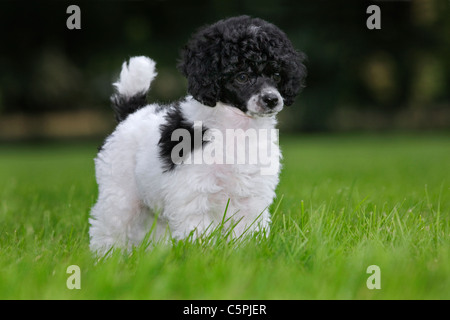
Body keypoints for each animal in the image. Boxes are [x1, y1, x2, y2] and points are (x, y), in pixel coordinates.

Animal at [89, 15, 306, 255]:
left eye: (276, 75)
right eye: (242, 77)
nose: (272, 99)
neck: (236, 128)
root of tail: (132, 113)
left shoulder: (251, 196)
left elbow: (248, 230)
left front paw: (247, 252)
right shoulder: (193, 195)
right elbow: (199, 232)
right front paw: (201, 256)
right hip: (121, 192)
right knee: (110, 226)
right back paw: (105, 256)